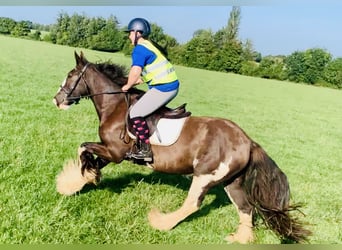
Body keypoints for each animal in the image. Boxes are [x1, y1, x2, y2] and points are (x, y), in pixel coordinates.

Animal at [52, 51, 312, 244]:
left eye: (70, 75)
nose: (57, 99)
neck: (114, 105)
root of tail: (248, 141)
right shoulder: (111, 150)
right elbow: (89, 156)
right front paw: (75, 183)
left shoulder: (115, 152)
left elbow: (83, 149)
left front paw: (80, 179)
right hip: (232, 181)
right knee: (246, 208)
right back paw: (240, 239)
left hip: (205, 175)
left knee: (193, 204)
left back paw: (160, 223)